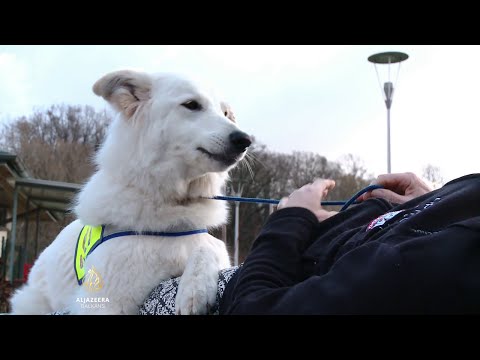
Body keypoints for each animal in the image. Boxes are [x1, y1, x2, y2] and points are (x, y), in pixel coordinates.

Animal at [9, 69, 251, 316]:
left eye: (225, 113)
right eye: (191, 105)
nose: (245, 140)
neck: (169, 201)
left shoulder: (201, 242)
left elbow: (210, 245)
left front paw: (194, 291)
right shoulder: (103, 304)